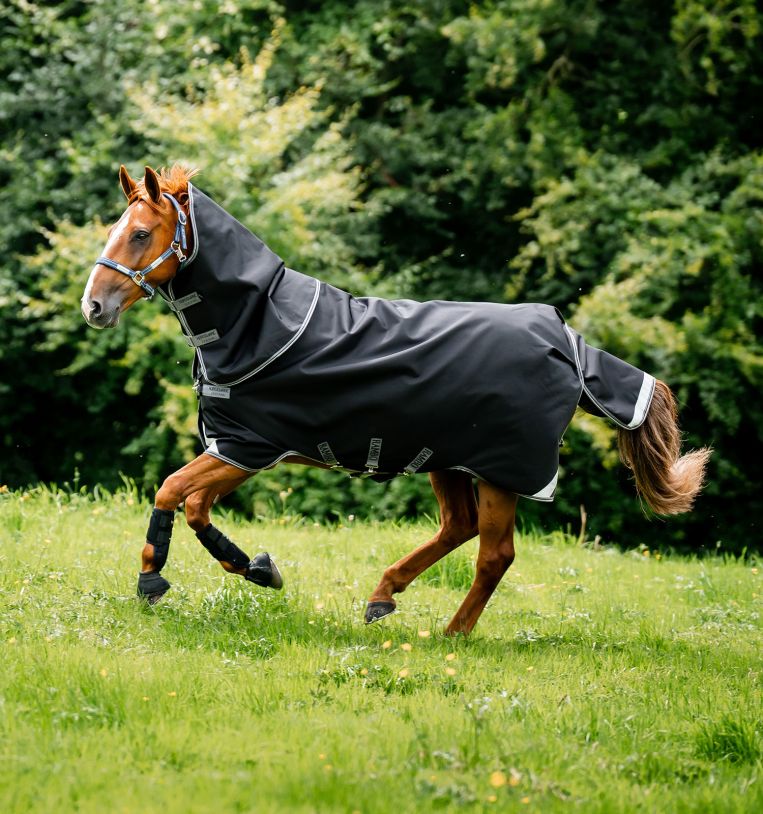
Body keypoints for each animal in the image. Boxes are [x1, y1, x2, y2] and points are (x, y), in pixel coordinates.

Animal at [80, 164, 710, 635]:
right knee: (459, 527)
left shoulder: (248, 446)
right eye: (115, 228)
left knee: (494, 554)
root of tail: (567, 341)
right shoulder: (238, 449)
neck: (258, 322)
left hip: (500, 471)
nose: (94, 306)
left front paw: (154, 580)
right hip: (448, 459)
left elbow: (173, 492)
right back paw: (384, 596)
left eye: (141, 234)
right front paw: (257, 567)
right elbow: (194, 506)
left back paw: (452, 633)